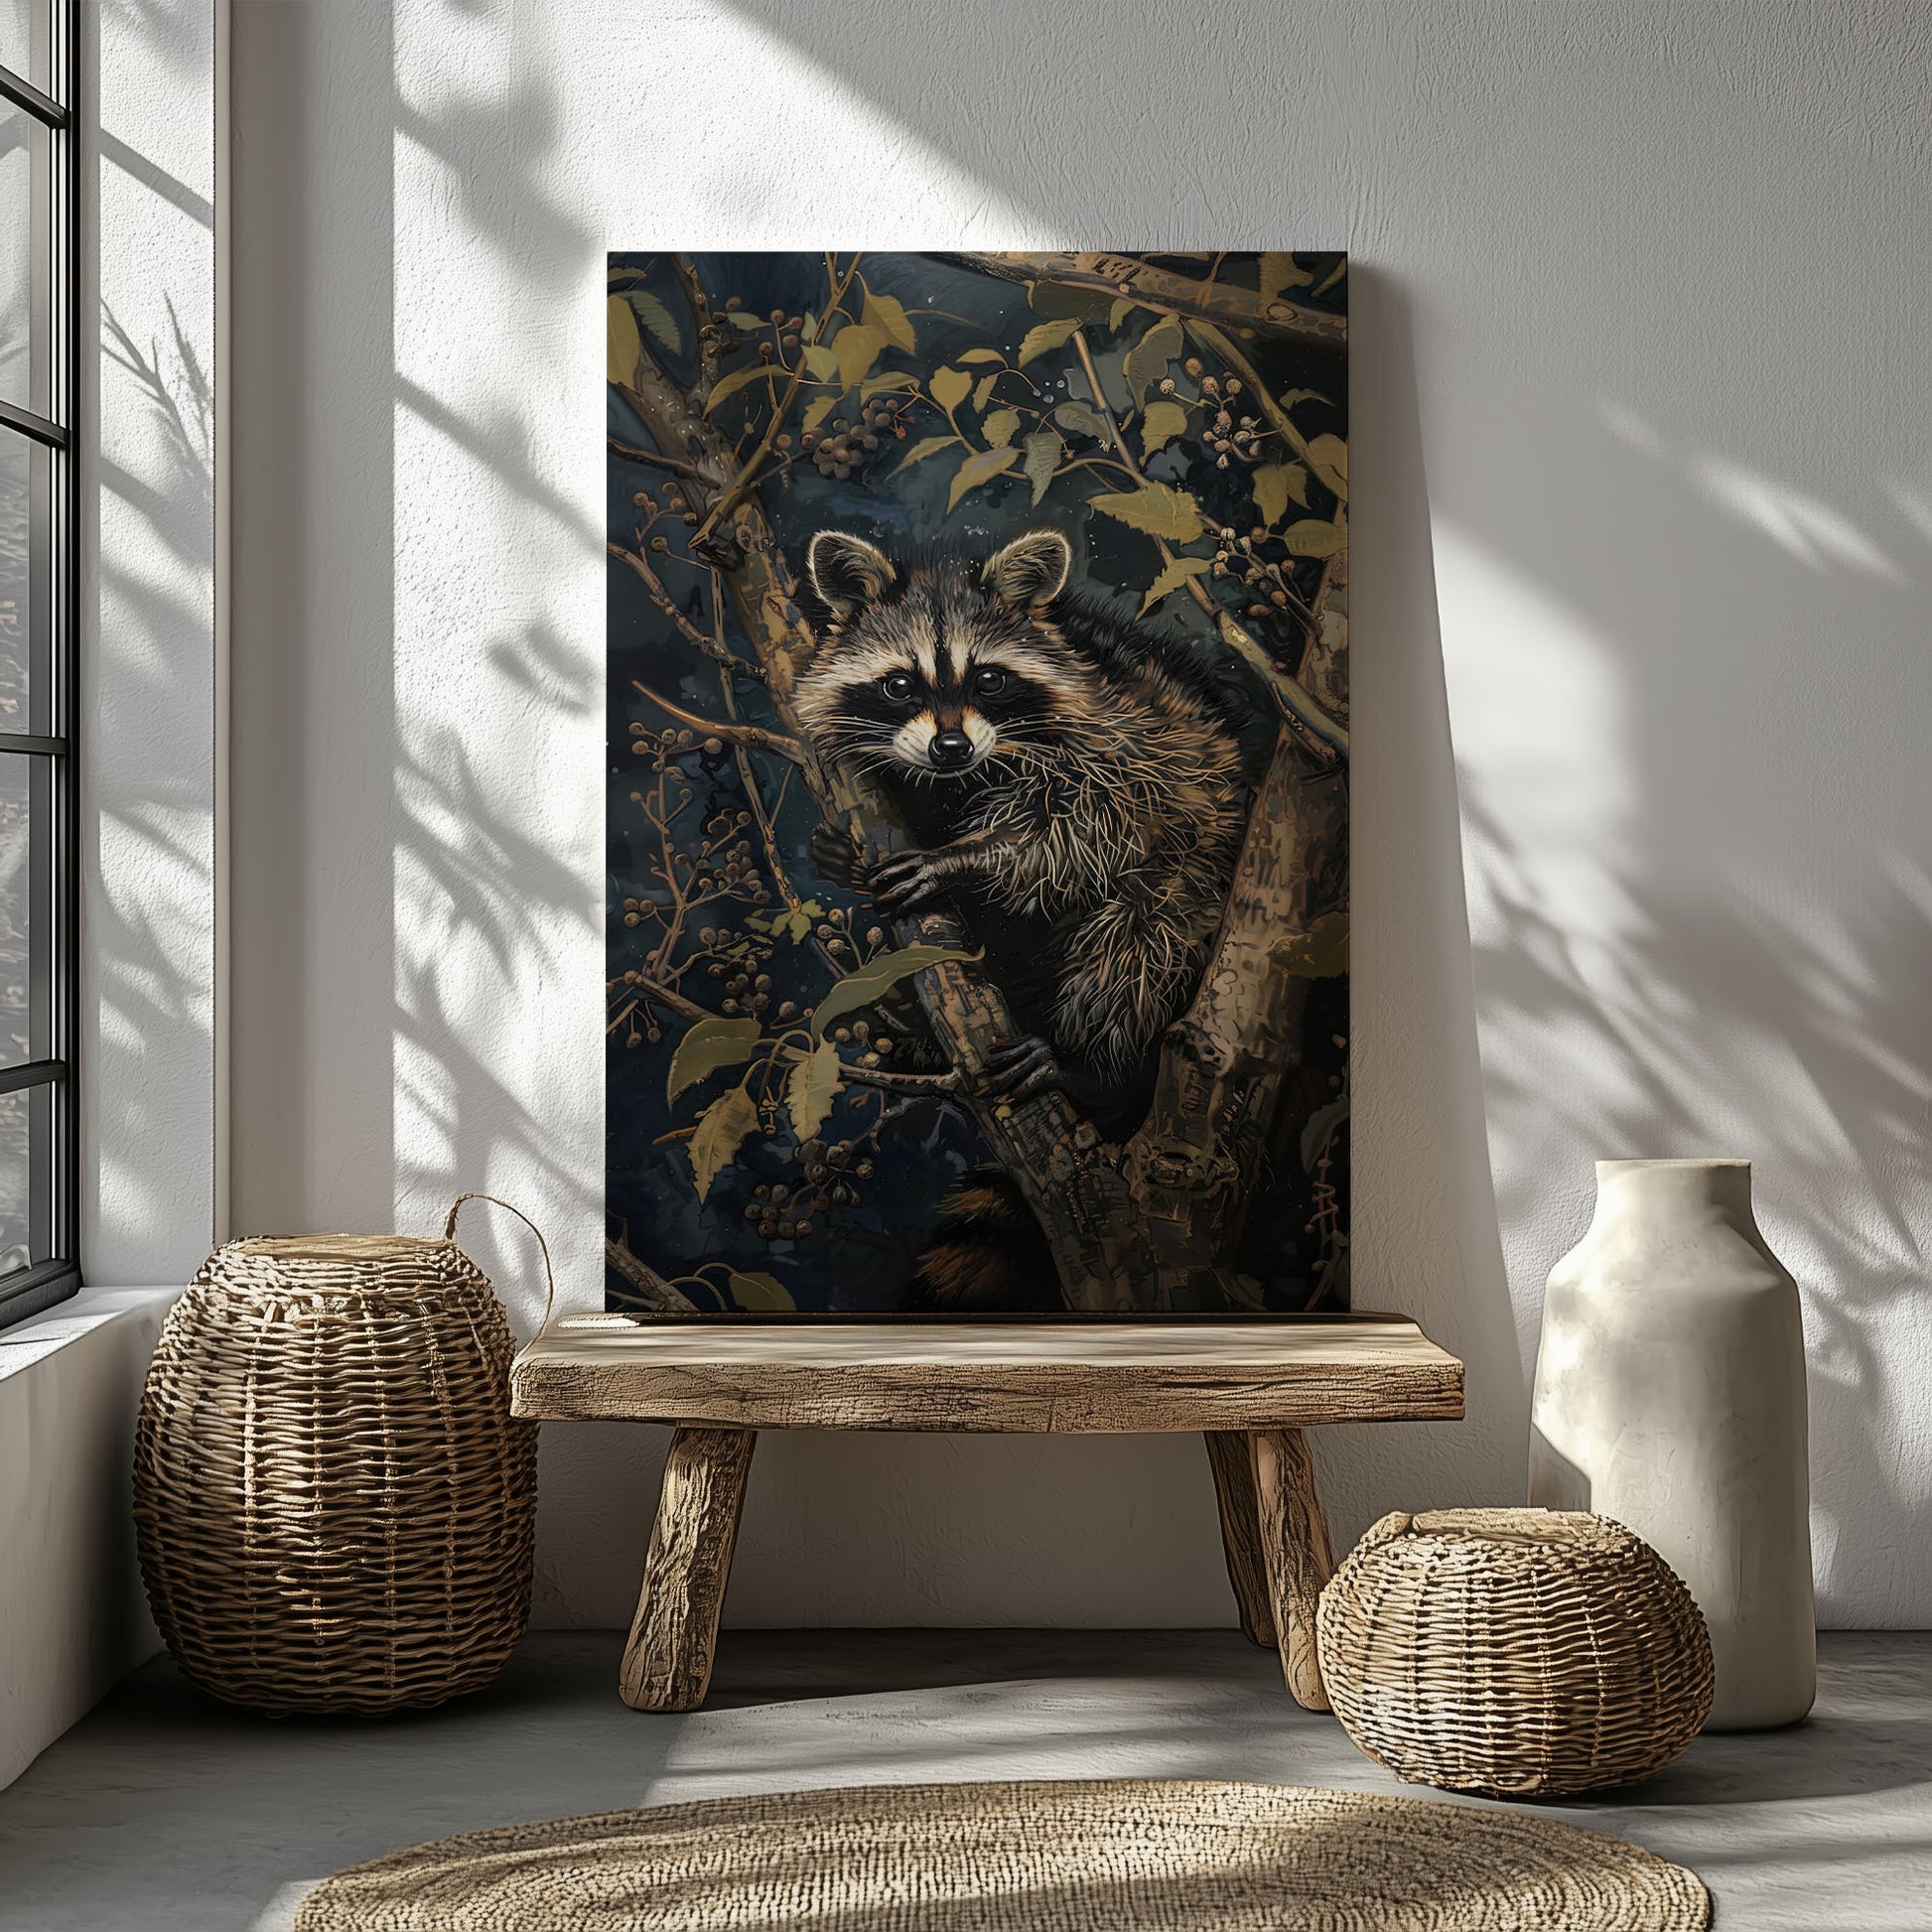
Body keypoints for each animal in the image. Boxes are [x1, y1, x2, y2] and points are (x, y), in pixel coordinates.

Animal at [794, 527, 1254, 1310]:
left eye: (988, 679)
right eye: (899, 685)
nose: (950, 746)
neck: (966, 776)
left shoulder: (1124, 743)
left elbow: (1081, 833)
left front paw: (967, 858)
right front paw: (845, 856)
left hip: (1197, 885)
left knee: (1137, 942)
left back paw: (1093, 1064)